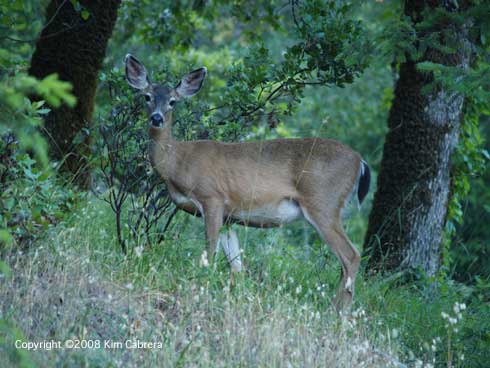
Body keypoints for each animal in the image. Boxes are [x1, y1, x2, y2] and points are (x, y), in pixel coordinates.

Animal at [124, 53, 370, 310]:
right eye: (147, 97)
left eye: (172, 101)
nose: (157, 118)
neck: (177, 162)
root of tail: (360, 161)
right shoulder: (229, 216)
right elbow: (236, 265)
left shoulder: (212, 197)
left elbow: (209, 253)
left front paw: (201, 286)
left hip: (323, 203)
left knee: (351, 255)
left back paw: (339, 311)